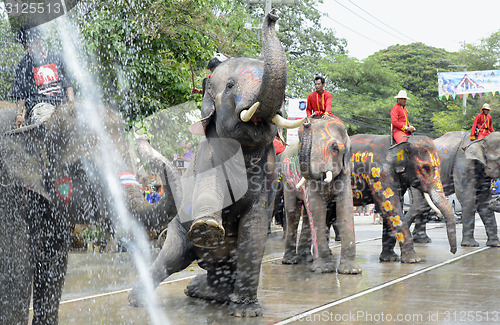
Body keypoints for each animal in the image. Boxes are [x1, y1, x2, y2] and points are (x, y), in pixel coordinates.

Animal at [0, 103, 180, 324]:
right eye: (80, 170)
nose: (145, 137)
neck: (36, 124)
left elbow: (53, 267)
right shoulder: (9, 198)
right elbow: (16, 274)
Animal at [127, 10, 302, 316]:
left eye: (284, 95)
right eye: (230, 86)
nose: (272, 15)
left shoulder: (270, 174)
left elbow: (255, 226)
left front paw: (246, 312)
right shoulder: (205, 155)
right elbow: (208, 189)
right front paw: (208, 229)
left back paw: (205, 292)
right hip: (177, 231)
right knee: (170, 259)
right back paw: (138, 300)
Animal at [280, 116, 362, 274]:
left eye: (335, 148)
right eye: (300, 149)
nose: (306, 121)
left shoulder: (346, 171)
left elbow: (345, 207)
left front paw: (351, 271)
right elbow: (317, 208)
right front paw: (323, 269)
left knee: (306, 215)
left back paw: (306, 258)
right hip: (287, 180)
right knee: (293, 213)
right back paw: (290, 261)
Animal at [350, 133, 456, 262]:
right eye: (425, 168)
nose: (452, 252)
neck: (400, 143)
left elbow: (393, 207)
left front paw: (390, 259)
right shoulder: (379, 173)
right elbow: (391, 207)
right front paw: (413, 260)